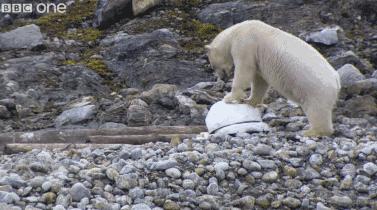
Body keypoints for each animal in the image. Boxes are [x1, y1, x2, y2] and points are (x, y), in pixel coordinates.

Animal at [206, 20, 340, 136]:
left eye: (213, 65)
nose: (222, 78)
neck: (235, 32)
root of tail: (336, 80)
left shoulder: (246, 44)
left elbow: (244, 70)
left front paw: (229, 97)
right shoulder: (257, 57)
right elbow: (260, 81)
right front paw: (250, 101)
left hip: (316, 88)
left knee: (316, 109)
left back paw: (311, 131)